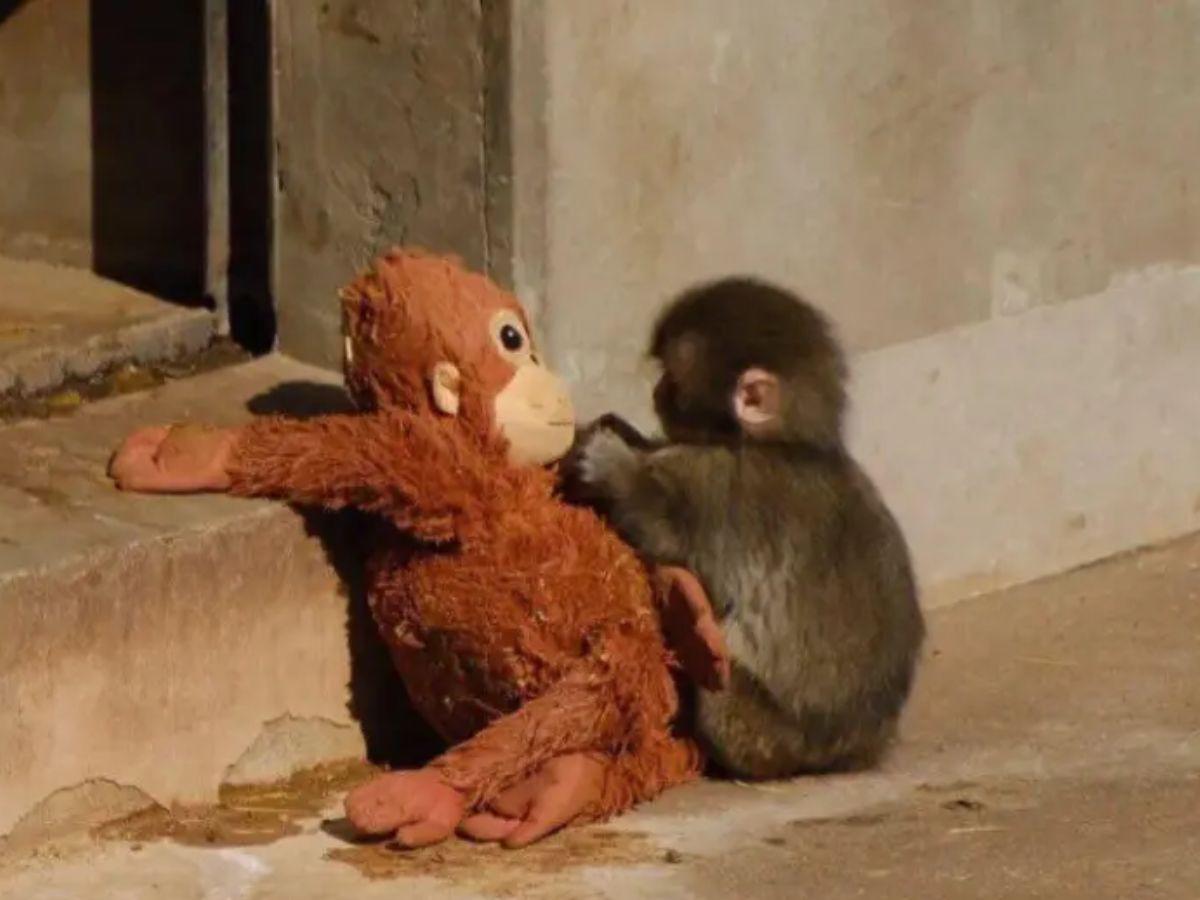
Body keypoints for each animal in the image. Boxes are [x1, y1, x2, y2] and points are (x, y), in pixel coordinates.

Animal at [561, 277, 925, 779]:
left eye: (672, 379)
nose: (656, 391)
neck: (786, 444)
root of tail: (850, 752)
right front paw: (625, 433)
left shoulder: (718, 484)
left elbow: (664, 532)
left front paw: (611, 465)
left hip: (757, 731)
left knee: (718, 681)